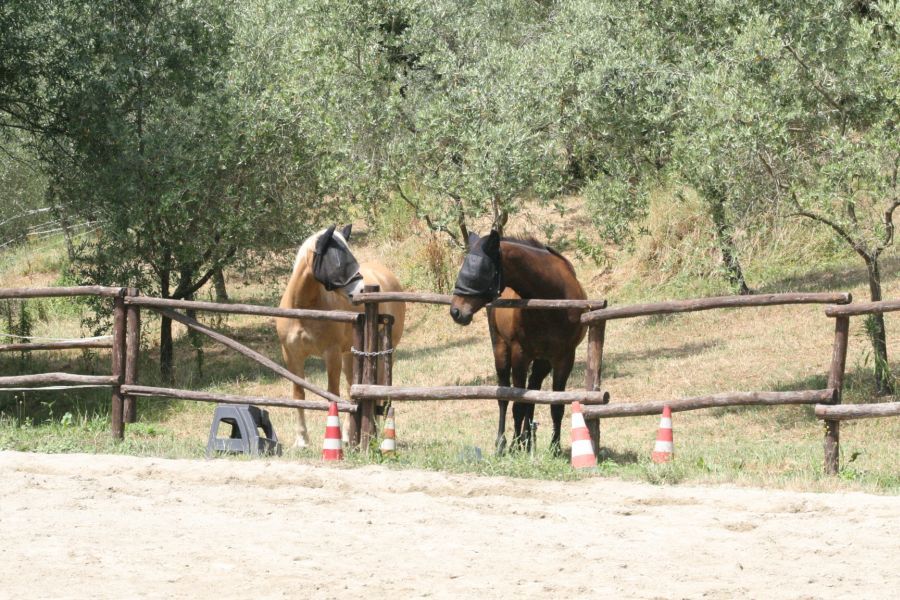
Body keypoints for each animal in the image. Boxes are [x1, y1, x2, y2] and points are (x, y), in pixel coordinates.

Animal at [272, 224, 402, 446]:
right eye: (339, 261)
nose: (361, 290)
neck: (303, 309)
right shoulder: (291, 355)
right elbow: (298, 394)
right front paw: (302, 440)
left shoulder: (331, 354)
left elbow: (332, 394)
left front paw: (335, 437)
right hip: (350, 355)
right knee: (352, 388)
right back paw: (352, 436)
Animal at [448, 232, 588, 452]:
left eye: (483, 270)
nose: (456, 312)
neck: (552, 299)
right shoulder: (520, 355)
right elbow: (518, 402)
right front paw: (514, 446)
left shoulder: (564, 358)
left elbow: (555, 404)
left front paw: (555, 448)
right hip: (501, 351)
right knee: (504, 396)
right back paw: (504, 443)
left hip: (542, 362)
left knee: (533, 391)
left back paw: (528, 440)